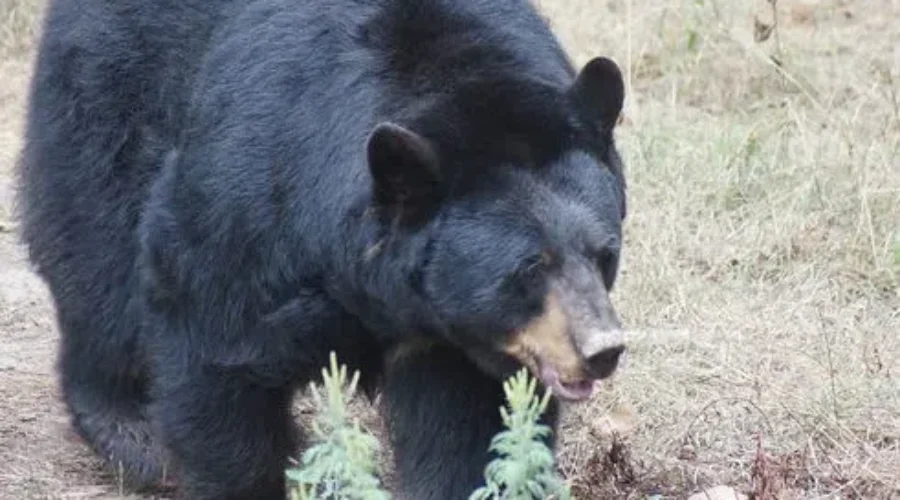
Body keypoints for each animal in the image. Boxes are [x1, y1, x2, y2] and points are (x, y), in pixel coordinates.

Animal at [16, 0, 628, 498]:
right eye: (530, 267)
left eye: (604, 254)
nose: (603, 349)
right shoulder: (252, 200)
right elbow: (212, 345)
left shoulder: (450, 338)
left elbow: (466, 428)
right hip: (110, 92)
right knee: (98, 254)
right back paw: (132, 432)